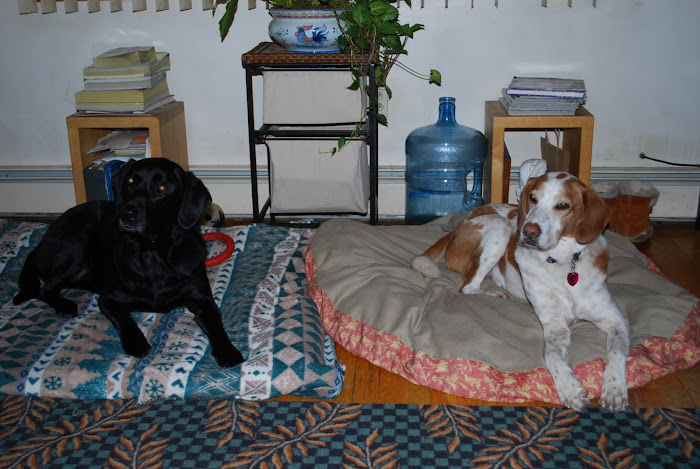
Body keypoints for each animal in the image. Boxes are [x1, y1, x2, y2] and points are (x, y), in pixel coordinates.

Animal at [13, 159, 246, 368]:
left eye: (162, 188)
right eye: (131, 181)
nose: (127, 212)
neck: (154, 252)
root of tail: (40, 242)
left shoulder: (203, 300)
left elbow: (217, 326)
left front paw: (228, 351)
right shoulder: (108, 299)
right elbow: (125, 319)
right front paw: (136, 343)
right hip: (77, 244)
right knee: (45, 289)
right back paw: (65, 305)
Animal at [412, 171, 632, 410]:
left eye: (563, 205)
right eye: (533, 198)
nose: (528, 231)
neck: (563, 264)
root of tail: (459, 224)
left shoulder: (616, 321)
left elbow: (616, 351)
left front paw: (614, 389)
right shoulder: (555, 325)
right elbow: (551, 356)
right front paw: (570, 388)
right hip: (500, 227)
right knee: (468, 286)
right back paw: (499, 294)